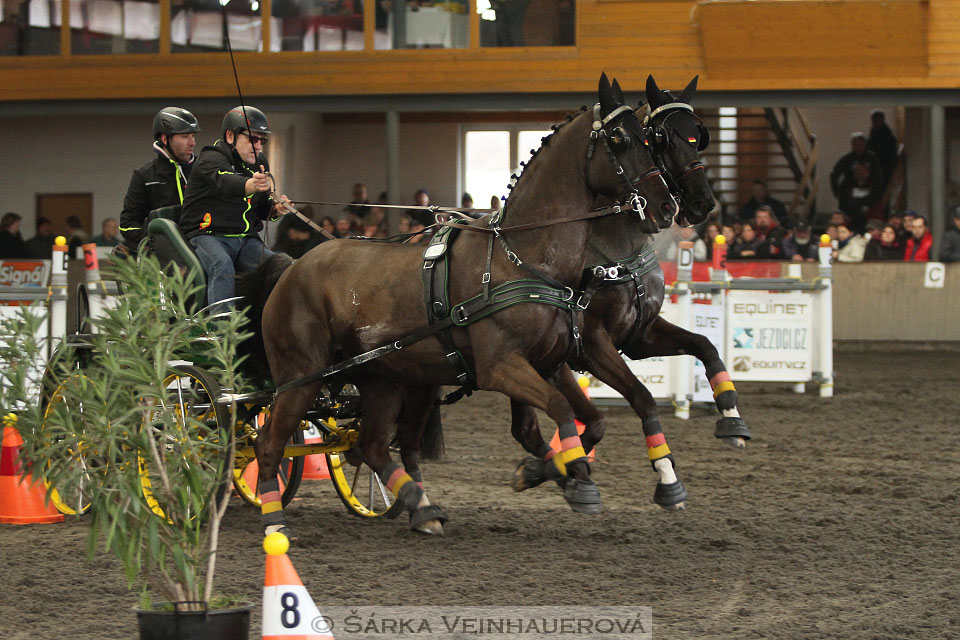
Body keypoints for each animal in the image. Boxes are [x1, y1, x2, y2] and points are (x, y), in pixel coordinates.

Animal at [251, 74, 680, 536]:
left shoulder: (550, 360)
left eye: (649, 138)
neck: (522, 256)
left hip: (383, 379)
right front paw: (577, 479)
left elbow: (574, 417)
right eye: (620, 139)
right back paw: (273, 523)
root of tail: (292, 267)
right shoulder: (501, 367)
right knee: (268, 443)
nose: (666, 206)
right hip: (301, 377)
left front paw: (554, 472)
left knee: (372, 446)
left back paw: (423, 510)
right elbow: (562, 408)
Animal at [510, 76, 752, 510]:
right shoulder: (592, 342)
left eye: (698, 135)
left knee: (537, 425)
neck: (613, 251)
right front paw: (667, 475)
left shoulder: (639, 335)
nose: (702, 204)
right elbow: (642, 398)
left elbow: (705, 345)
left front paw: (731, 418)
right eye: (661, 138)